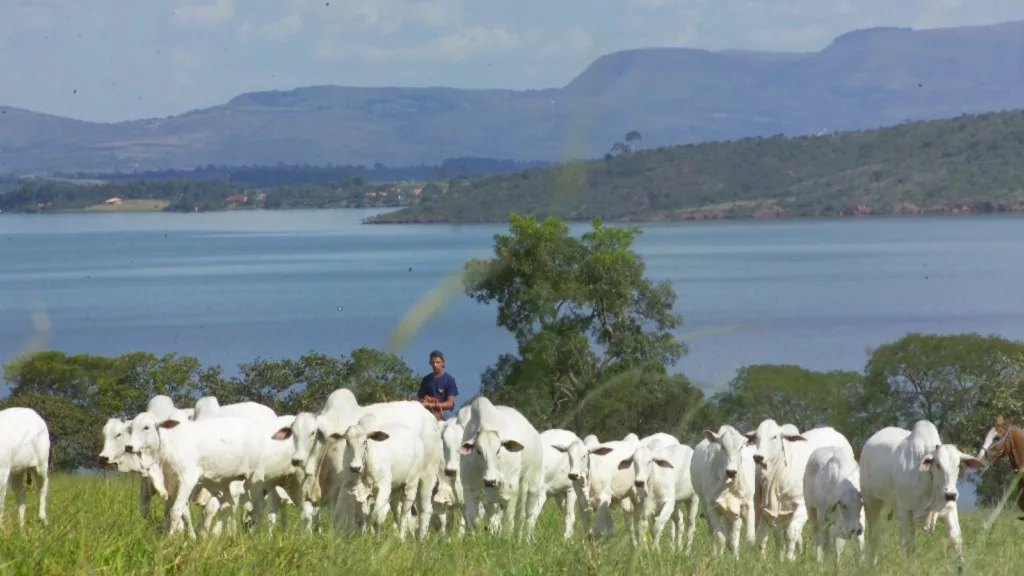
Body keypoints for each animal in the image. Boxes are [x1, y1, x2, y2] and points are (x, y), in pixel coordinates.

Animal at [126, 407, 268, 532]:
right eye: (130, 428)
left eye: (146, 427)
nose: (128, 446)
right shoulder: (171, 485)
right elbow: (176, 513)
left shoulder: (187, 481)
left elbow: (175, 511)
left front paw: (168, 539)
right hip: (226, 483)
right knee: (228, 508)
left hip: (253, 479)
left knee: (257, 508)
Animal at [462, 393, 548, 537]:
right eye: (478, 450)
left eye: (498, 450)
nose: (490, 481)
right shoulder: (469, 487)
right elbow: (476, 520)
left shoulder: (510, 488)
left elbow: (508, 521)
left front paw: (506, 538)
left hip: (532, 484)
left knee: (526, 517)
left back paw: (523, 538)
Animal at [692, 424, 757, 553]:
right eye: (722, 446)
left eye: (741, 447)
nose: (731, 472)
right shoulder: (712, 507)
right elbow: (719, 538)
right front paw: (718, 557)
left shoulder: (746, 504)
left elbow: (750, 539)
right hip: (706, 507)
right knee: (713, 533)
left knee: (732, 538)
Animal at [741, 420, 851, 557]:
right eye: (756, 437)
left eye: (774, 437)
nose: (758, 457)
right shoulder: (768, 513)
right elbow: (774, 538)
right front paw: (777, 558)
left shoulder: (802, 506)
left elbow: (790, 534)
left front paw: (790, 558)